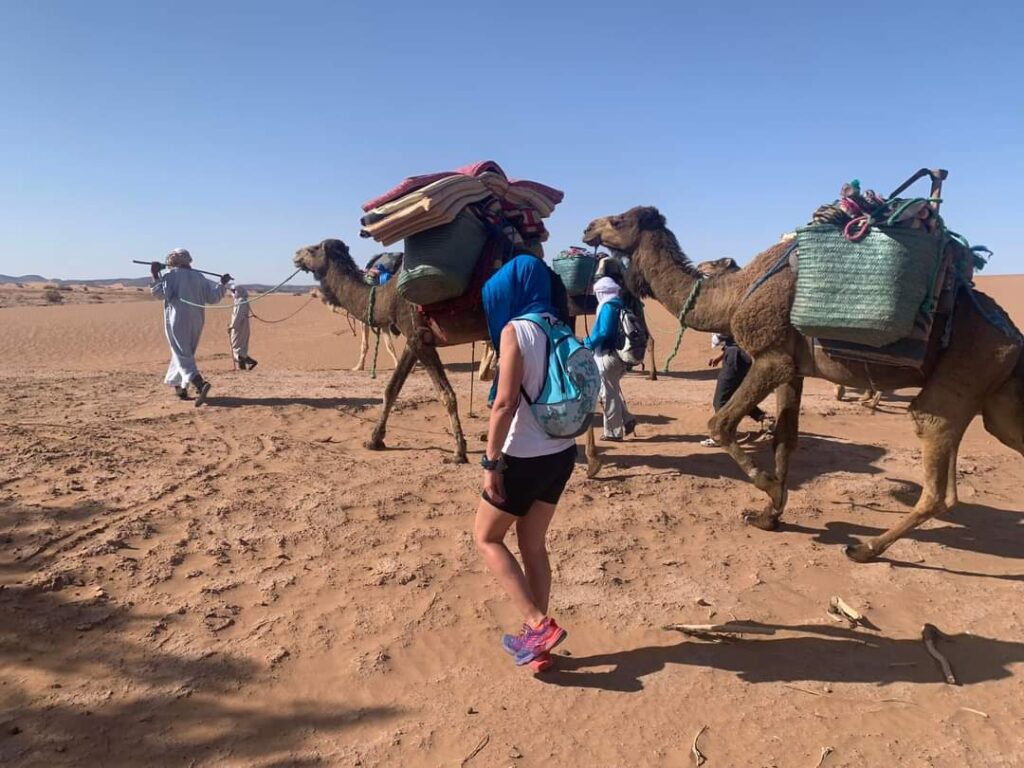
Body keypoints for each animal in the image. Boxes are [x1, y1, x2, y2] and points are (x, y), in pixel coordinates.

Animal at [585, 207, 1024, 561]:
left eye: (619, 220)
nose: (589, 228)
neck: (733, 297)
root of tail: (1013, 338)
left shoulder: (770, 357)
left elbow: (721, 424)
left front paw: (769, 489)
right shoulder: (792, 368)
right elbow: (785, 438)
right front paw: (769, 515)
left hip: (963, 373)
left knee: (935, 481)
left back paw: (865, 548)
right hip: (992, 398)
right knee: (965, 471)